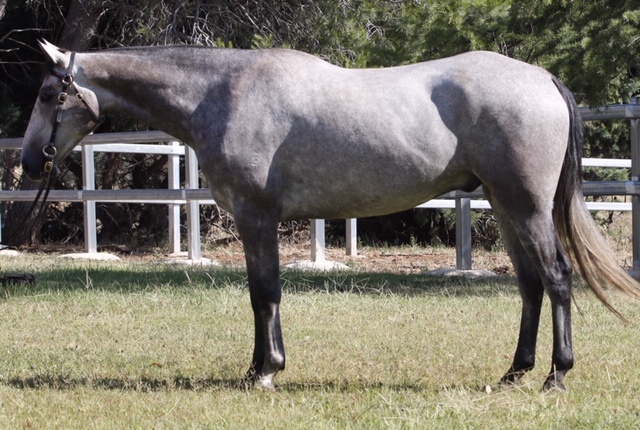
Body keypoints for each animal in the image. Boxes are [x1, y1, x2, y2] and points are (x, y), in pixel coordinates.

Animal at [21, 40, 640, 391]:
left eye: (51, 93)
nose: (29, 161)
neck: (224, 94)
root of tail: (541, 78)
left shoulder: (256, 217)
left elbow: (264, 293)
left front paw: (266, 372)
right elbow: (263, 295)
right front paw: (257, 368)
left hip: (527, 207)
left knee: (557, 280)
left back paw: (556, 378)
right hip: (508, 208)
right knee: (531, 286)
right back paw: (513, 374)